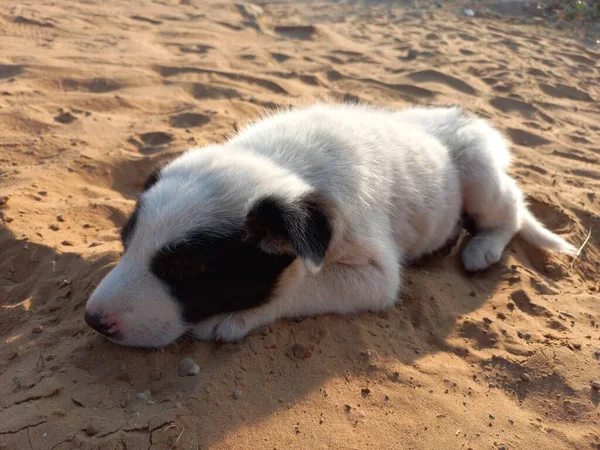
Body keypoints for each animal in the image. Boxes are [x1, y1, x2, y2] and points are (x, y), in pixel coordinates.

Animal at [84, 103, 576, 348]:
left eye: (184, 272)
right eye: (124, 244)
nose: (93, 321)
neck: (279, 162)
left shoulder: (376, 276)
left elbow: (299, 286)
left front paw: (234, 317)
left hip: (479, 171)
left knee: (510, 209)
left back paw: (483, 247)